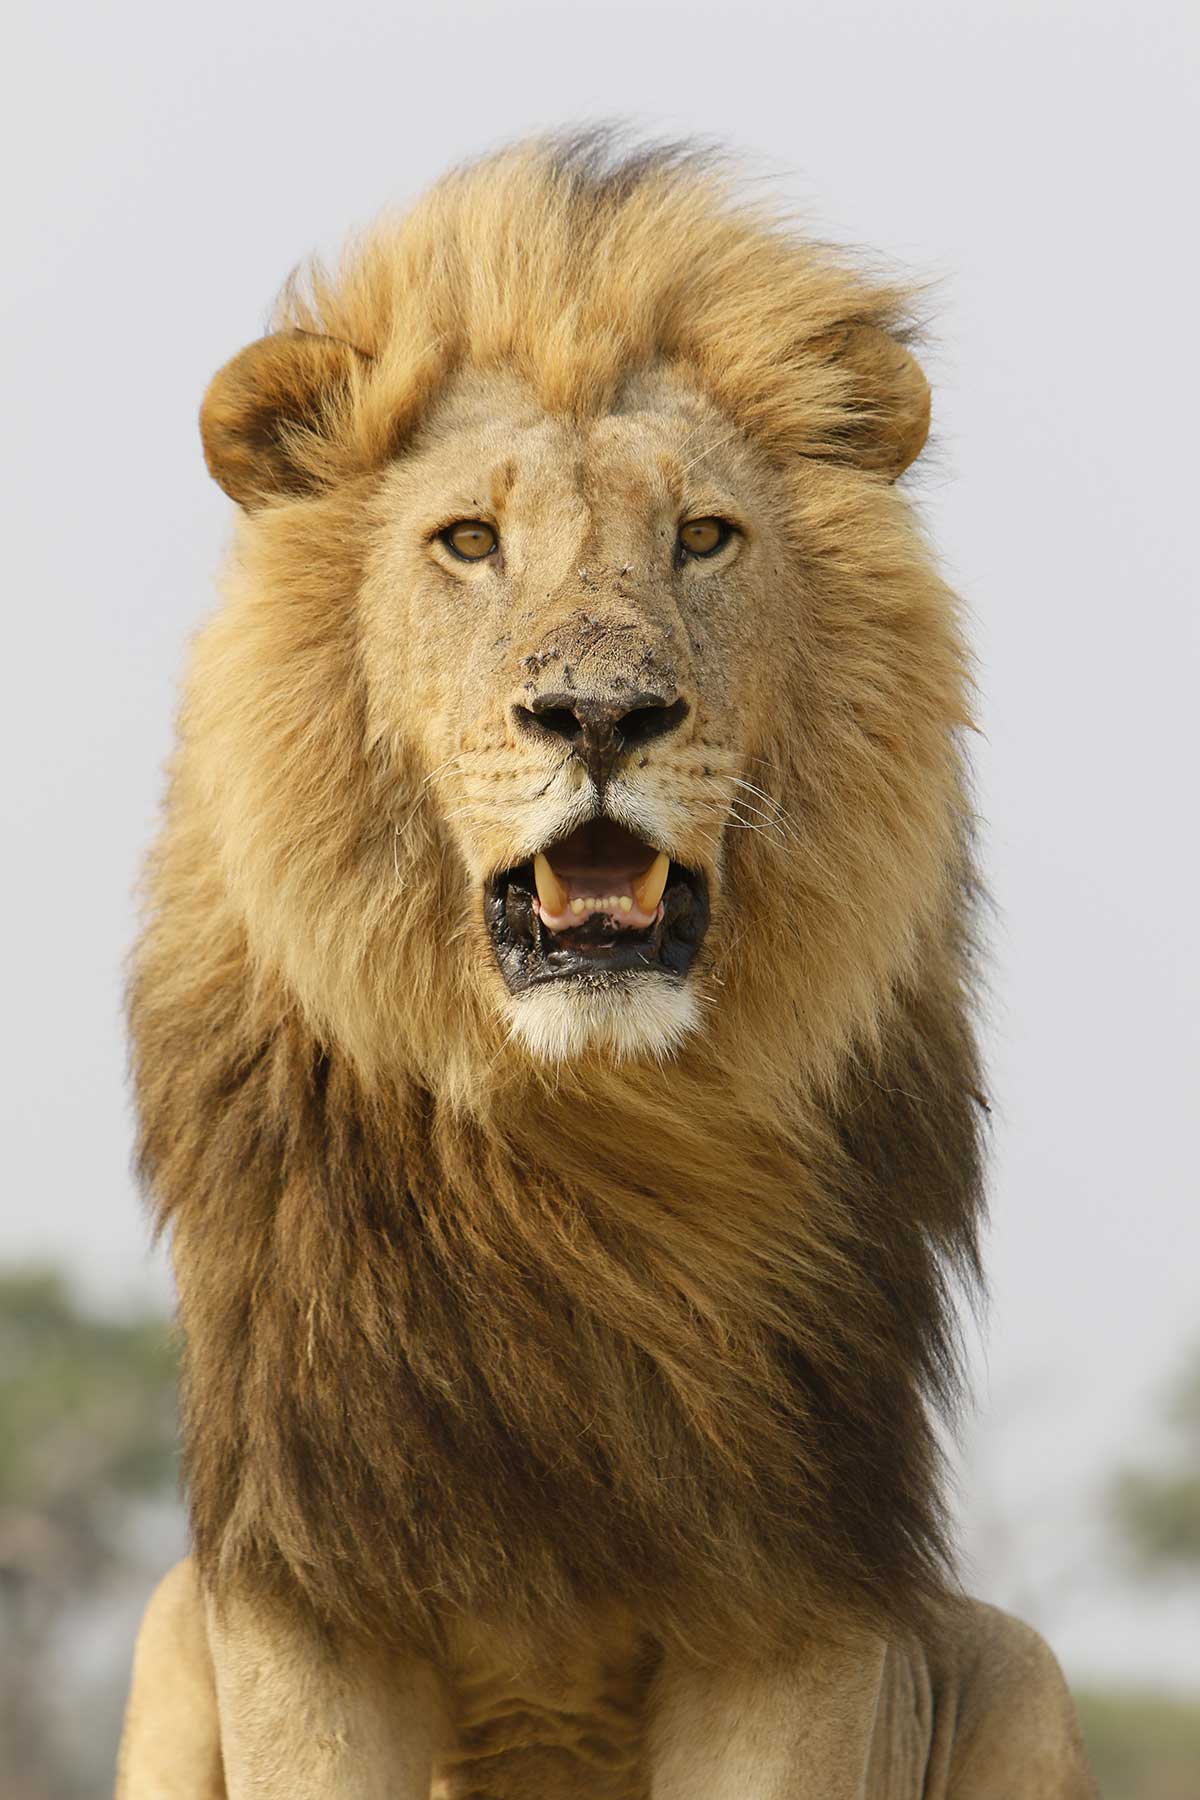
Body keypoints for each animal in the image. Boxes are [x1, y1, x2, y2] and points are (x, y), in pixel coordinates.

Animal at [112, 133, 1101, 1792]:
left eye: (703, 536)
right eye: (469, 542)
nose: (598, 715)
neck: (581, 1140)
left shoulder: (805, 1590)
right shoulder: (308, 1585)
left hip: (1014, 1668)